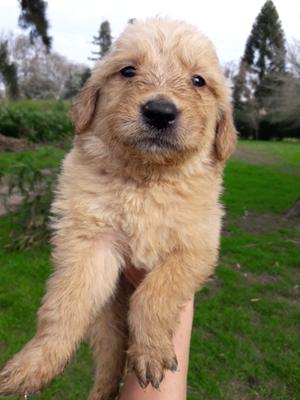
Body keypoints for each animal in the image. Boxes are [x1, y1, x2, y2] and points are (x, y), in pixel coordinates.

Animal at [0, 18, 236, 400]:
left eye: (198, 81)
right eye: (128, 71)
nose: (160, 112)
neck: (145, 180)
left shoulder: (196, 246)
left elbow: (156, 293)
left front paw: (151, 349)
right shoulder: (90, 243)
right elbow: (65, 305)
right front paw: (35, 362)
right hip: (105, 319)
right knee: (110, 357)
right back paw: (101, 390)